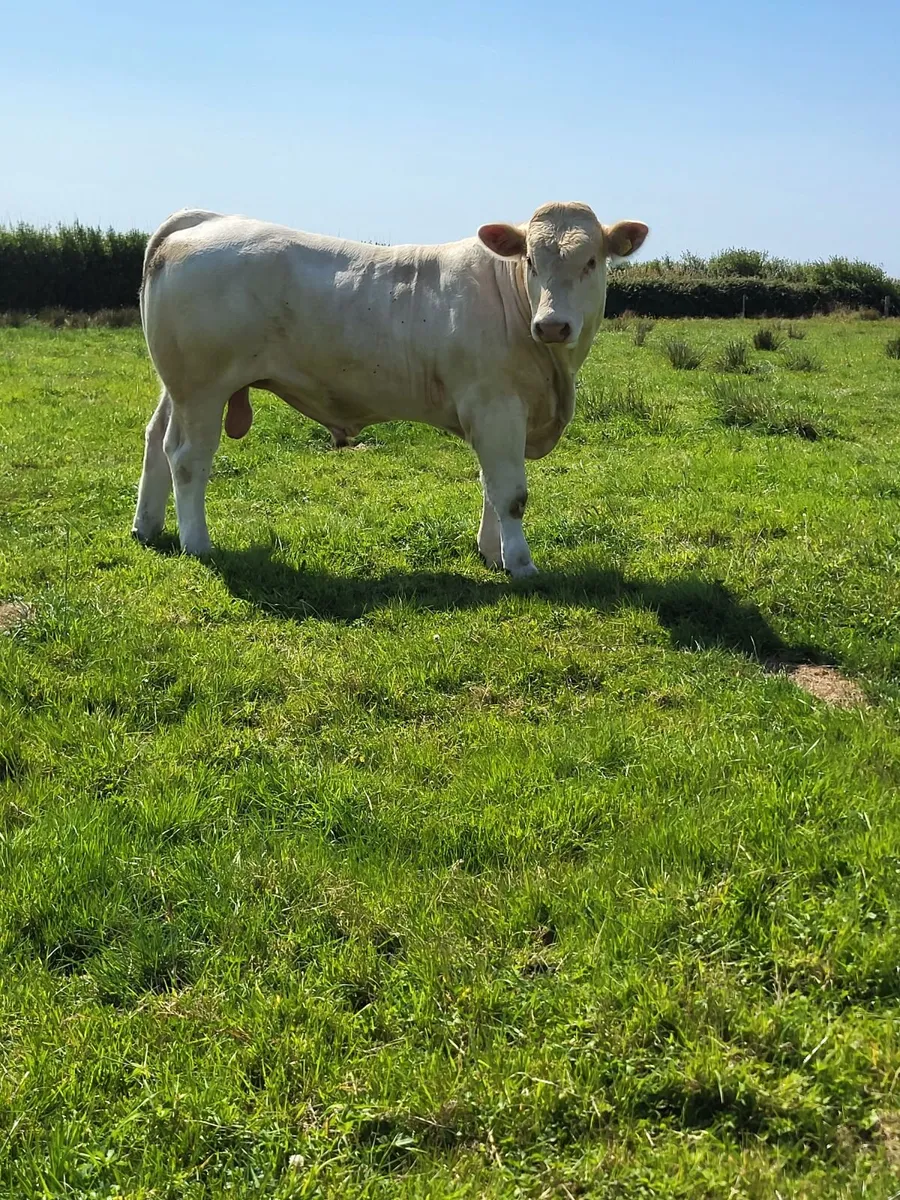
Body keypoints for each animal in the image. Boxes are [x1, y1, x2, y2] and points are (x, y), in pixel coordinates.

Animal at [133, 203, 648, 576]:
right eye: (530, 261)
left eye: (591, 261)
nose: (553, 325)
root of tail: (204, 219)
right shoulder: (495, 407)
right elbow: (510, 493)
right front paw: (520, 565)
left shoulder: (495, 418)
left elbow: (489, 485)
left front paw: (490, 553)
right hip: (202, 388)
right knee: (187, 458)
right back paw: (197, 544)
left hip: (176, 387)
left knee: (156, 441)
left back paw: (146, 528)